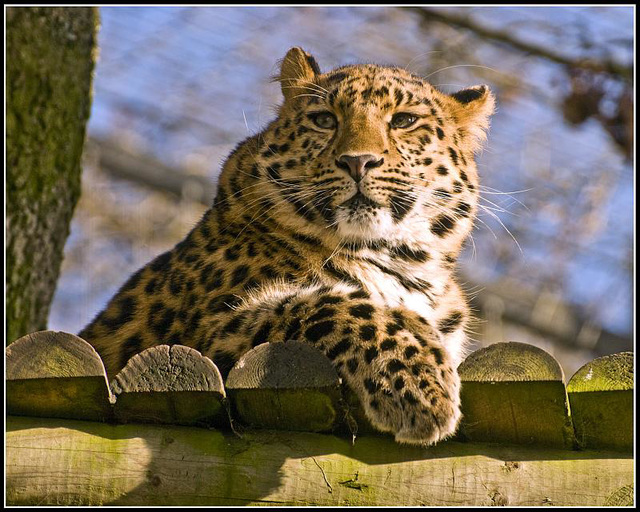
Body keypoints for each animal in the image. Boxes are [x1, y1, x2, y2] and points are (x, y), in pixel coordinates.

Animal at [79, 47, 496, 444]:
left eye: (405, 121)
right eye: (324, 120)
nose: (357, 161)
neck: (401, 263)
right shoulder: (211, 329)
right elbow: (328, 303)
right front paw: (420, 385)